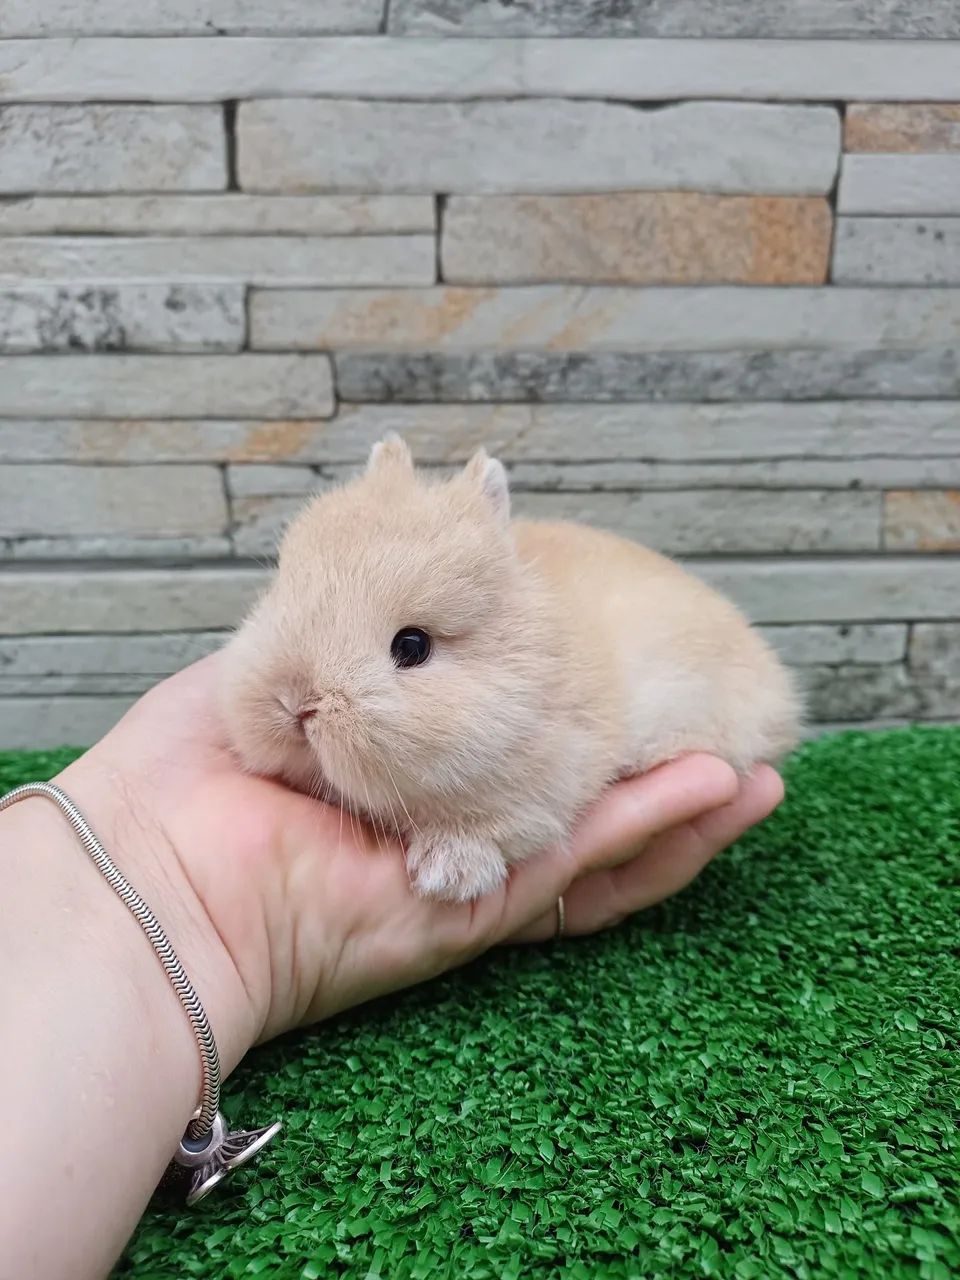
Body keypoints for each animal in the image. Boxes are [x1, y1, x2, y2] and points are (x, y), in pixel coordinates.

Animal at [220, 434, 801, 903]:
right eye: (281, 590)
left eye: (412, 646)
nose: (296, 705)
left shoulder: (548, 781)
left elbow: (499, 826)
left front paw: (447, 875)